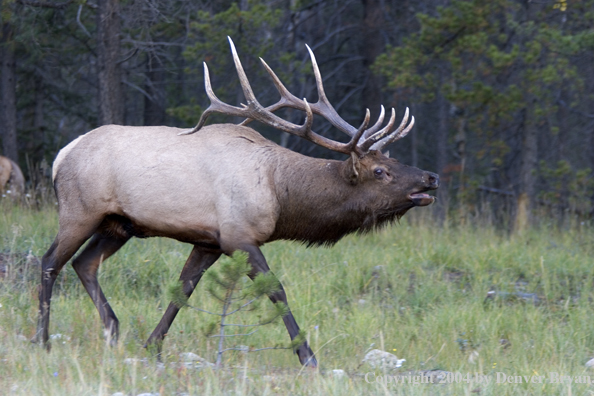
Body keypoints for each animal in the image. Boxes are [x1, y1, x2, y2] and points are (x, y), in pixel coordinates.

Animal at [35, 38, 434, 366]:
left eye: (393, 160)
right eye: (381, 171)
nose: (431, 177)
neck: (281, 195)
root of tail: (61, 155)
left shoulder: (208, 242)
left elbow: (181, 292)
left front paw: (152, 346)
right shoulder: (238, 236)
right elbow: (275, 289)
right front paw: (307, 356)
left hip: (119, 224)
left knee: (85, 263)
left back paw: (113, 330)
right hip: (79, 211)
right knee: (51, 261)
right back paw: (43, 340)